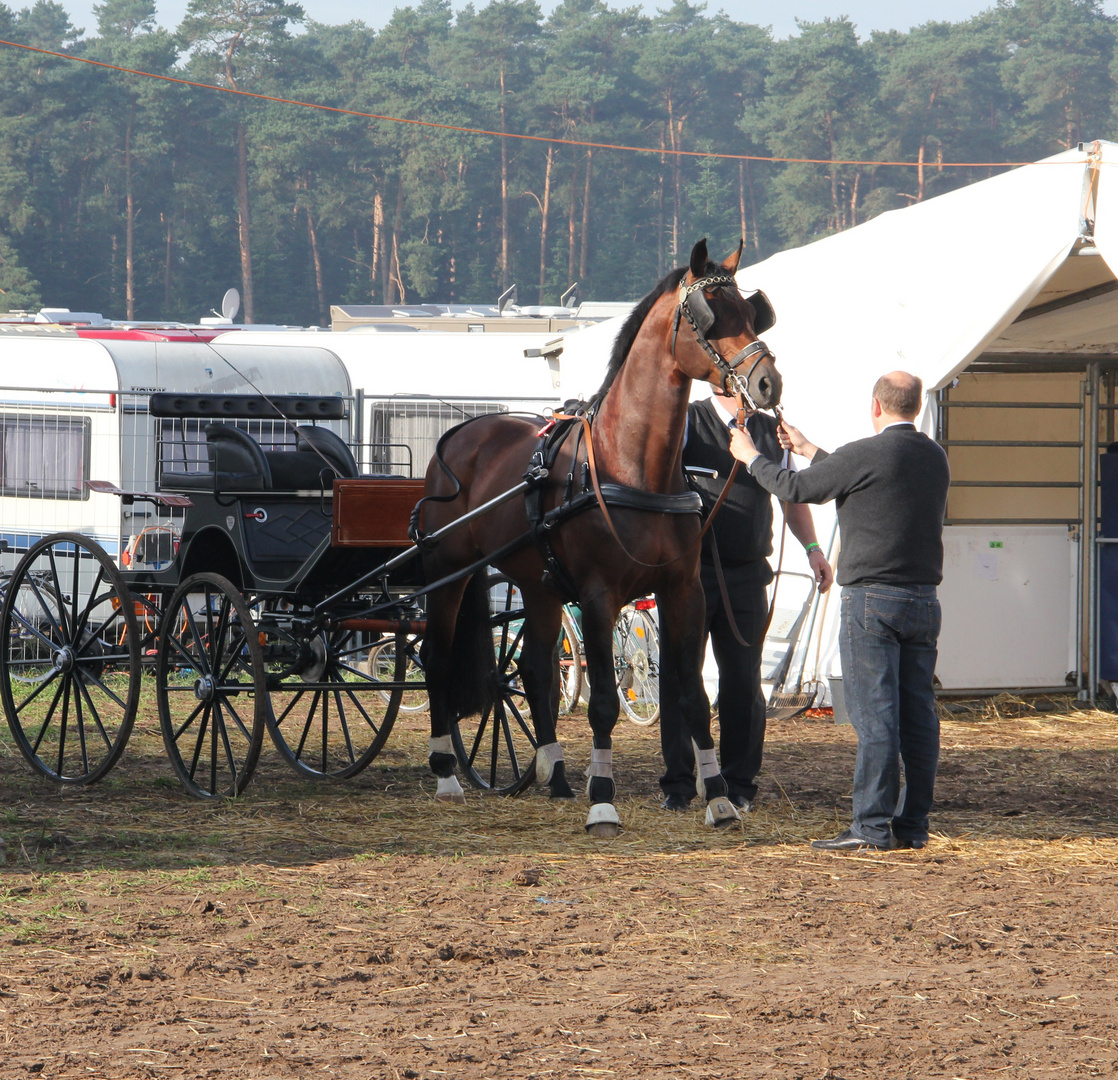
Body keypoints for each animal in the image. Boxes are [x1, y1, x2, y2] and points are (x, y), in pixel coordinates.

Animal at [415, 239, 782, 836]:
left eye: (753, 314)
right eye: (709, 317)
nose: (769, 383)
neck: (629, 465)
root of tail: (460, 436)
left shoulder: (685, 592)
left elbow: (694, 696)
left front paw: (719, 799)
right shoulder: (598, 597)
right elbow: (605, 702)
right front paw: (604, 801)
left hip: (538, 587)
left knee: (532, 669)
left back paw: (557, 775)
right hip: (448, 573)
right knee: (437, 657)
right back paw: (447, 772)